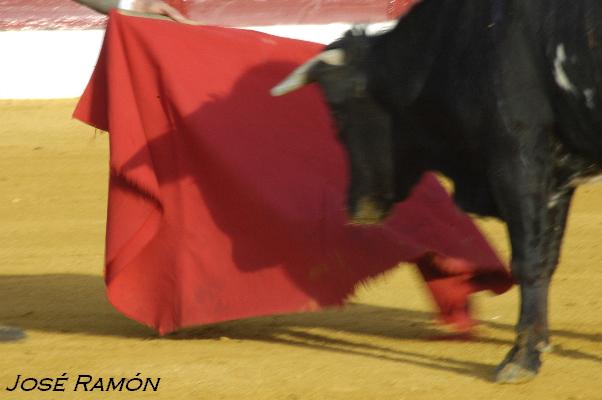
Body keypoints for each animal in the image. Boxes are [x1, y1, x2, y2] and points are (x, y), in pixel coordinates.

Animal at [274, 0, 600, 382]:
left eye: (337, 114)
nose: (356, 206)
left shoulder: (518, 156)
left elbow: (528, 260)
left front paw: (520, 359)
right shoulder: (559, 173)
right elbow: (548, 257)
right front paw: (540, 343)